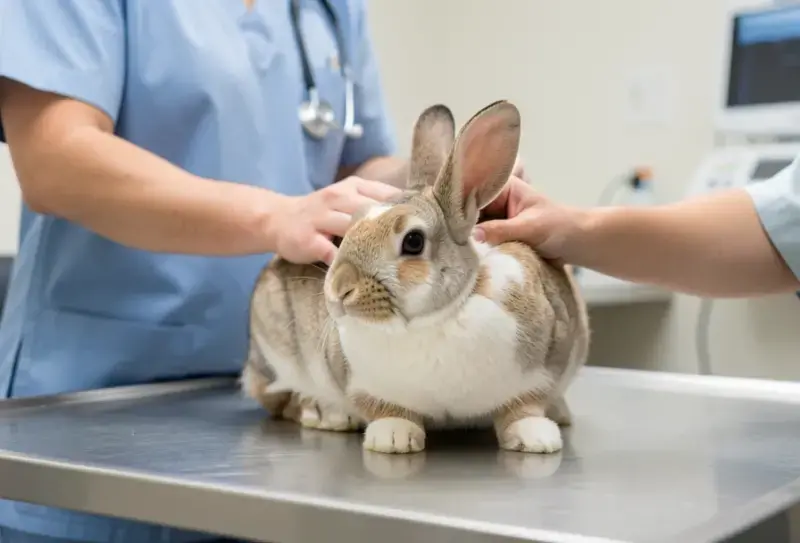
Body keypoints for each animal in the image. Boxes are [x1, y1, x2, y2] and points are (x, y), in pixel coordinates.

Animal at [241, 100, 590, 455]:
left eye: (413, 241)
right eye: (347, 229)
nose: (339, 290)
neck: (433, 320)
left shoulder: (546, 364)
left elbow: (525, 405)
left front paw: (537, 438)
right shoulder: (361, 383)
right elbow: (385, 409)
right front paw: (393, 438)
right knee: (276, 397)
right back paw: (327, 414)